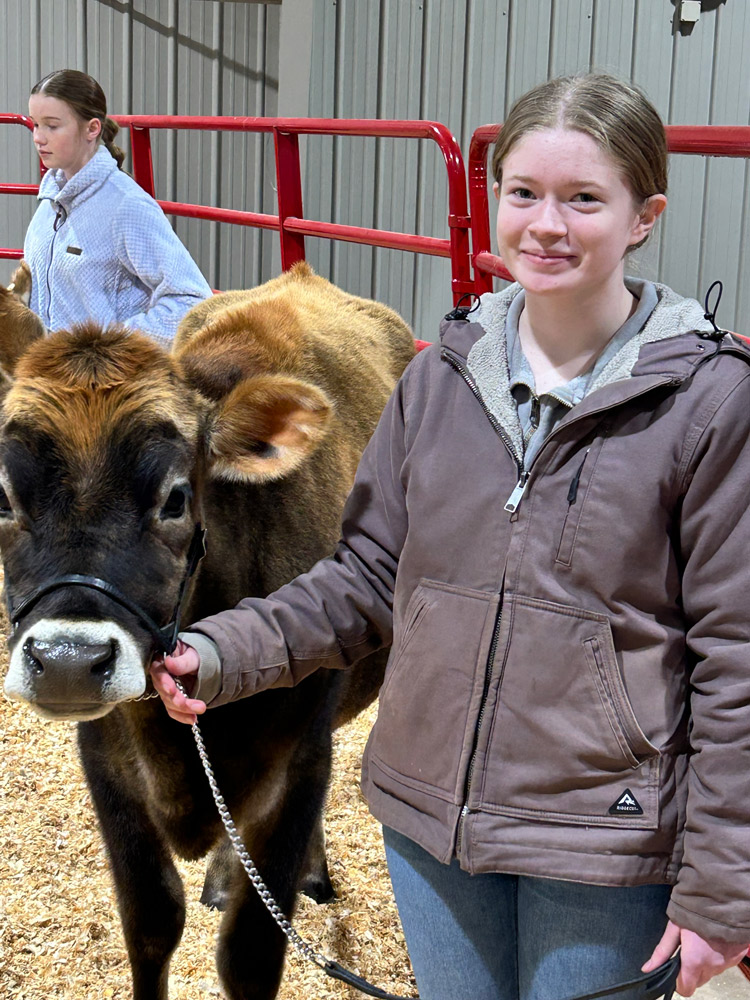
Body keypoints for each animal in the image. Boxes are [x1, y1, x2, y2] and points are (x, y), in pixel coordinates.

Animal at [0, 262, 415, 1000]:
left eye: (174, 498)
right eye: (2, 496)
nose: (70, 661)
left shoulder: (296, 765)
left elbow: (250, 953)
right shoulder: (106, 764)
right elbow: (150, 921)